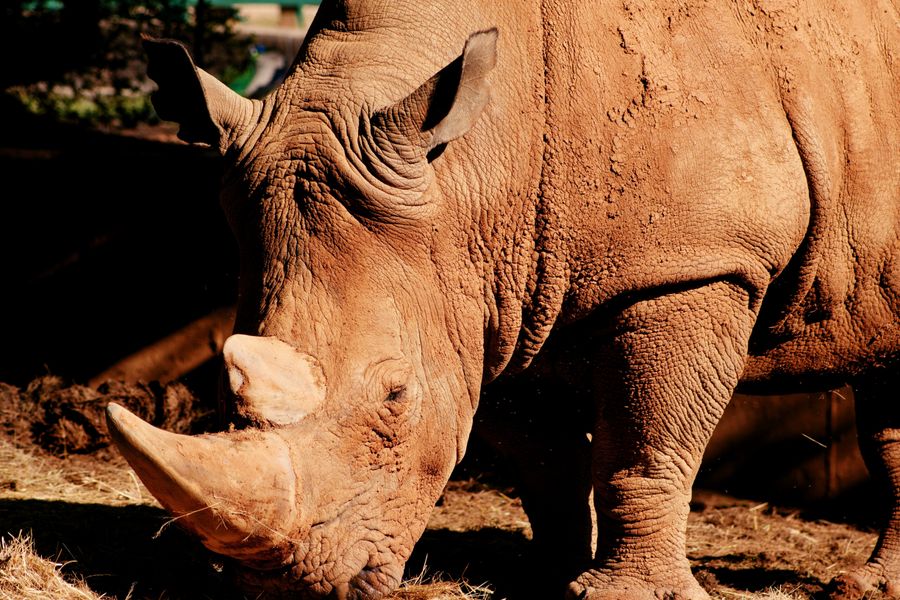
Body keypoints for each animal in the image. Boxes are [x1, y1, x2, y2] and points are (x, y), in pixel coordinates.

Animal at [105, 1, 900, 598]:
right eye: (222, 387)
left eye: (396, 397)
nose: (288, 589)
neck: (473, 167)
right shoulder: (498, 294)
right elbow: (541, 455)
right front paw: (544, 580)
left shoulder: (696, 263)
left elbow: (646, 441)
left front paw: (620, 595)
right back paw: (869, 588)